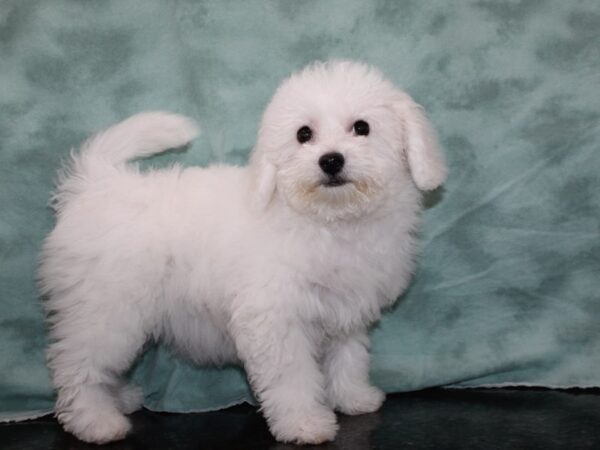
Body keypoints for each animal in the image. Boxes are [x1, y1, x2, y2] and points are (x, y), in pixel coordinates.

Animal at [38, 61, 446, 444]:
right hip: (106, 308)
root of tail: (97, 184)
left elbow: (349, 358)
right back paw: (95, 421)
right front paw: (304, 423)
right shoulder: (276, 319)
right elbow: (292, 378)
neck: (329, 220)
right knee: (79, 365)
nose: (331, 160)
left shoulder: (346, 312)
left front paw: (353, 397)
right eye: (303, 134)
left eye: (362, 127)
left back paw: (118, 398)